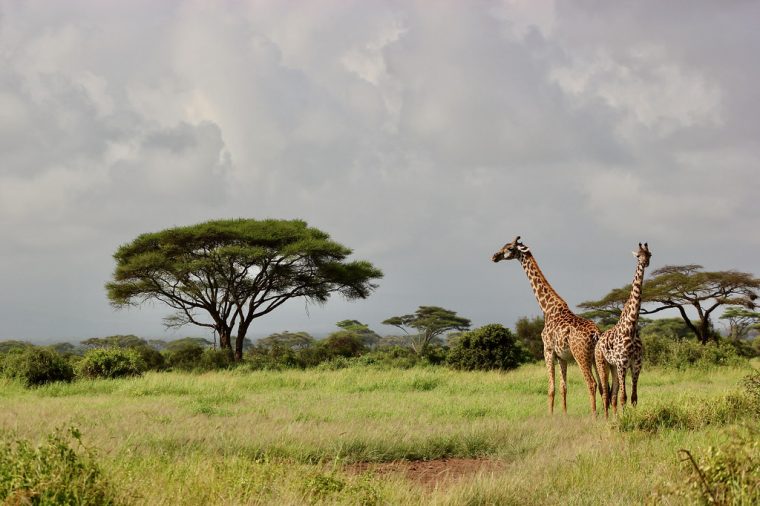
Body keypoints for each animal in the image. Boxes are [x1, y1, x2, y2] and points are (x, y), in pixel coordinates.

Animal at [492, 236, 600, 416]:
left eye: (509, 248)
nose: (494, 256)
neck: (547, 309)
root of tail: (596, 334)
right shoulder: (562, 356)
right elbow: (563, 387)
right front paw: (564, 414)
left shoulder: (548, 350)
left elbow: (551, 388)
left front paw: (550, 415)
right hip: (595, 357)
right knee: (606, 385)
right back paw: (607, 414)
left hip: (581, 355)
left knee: (591, 383)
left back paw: (594, 416)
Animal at [592, 243, 652, 418]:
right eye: (638, 256)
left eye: (649, 254)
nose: (645, 263)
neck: (631, 328)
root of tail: (598, 340)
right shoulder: (622, 363)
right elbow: (623, 397)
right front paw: (625, 419)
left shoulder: (636, 364)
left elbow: (633, 397)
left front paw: (629, 417)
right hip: (602, 363)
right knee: (605, 393)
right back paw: (606, 419)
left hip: (613, 367)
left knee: (612, 394)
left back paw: (614, 416)